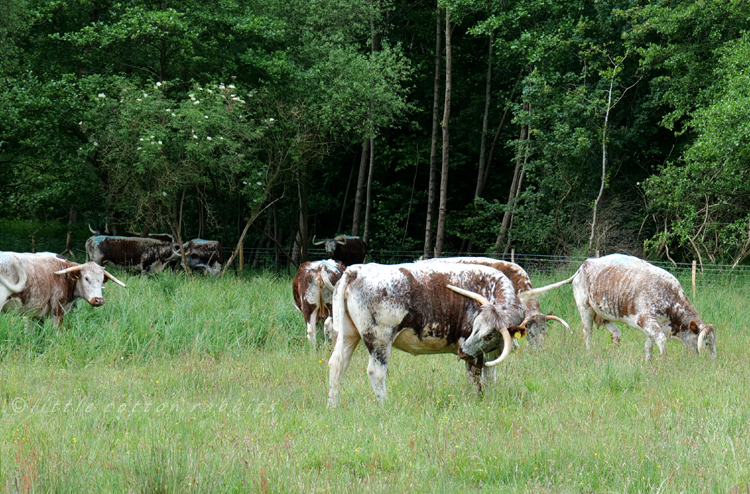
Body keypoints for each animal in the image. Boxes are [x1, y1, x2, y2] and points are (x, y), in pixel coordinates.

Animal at [328, 260, 528, 408]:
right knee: (376, 372)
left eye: (488, 336)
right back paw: (385, 405)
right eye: (475, 326)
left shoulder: (489, 352)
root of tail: (357, 270)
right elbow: (475, 378)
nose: (462, 351)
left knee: (337, 365)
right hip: (380, 340)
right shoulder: (473, 353)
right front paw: (478, 401)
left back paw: (333, 406)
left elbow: (490, 376)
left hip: (348, 336)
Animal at [516, 255, 716, 358]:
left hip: (604, 312)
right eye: (706, 343)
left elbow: (649, 346)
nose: (712, 362)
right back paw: (589, 353)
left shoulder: (650, 326)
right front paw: (662, 362)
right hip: (585, 308)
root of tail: (584, 265)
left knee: (615, 333)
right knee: (587, 333)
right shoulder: (647, 320)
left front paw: (648, 363)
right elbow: (661, 342)